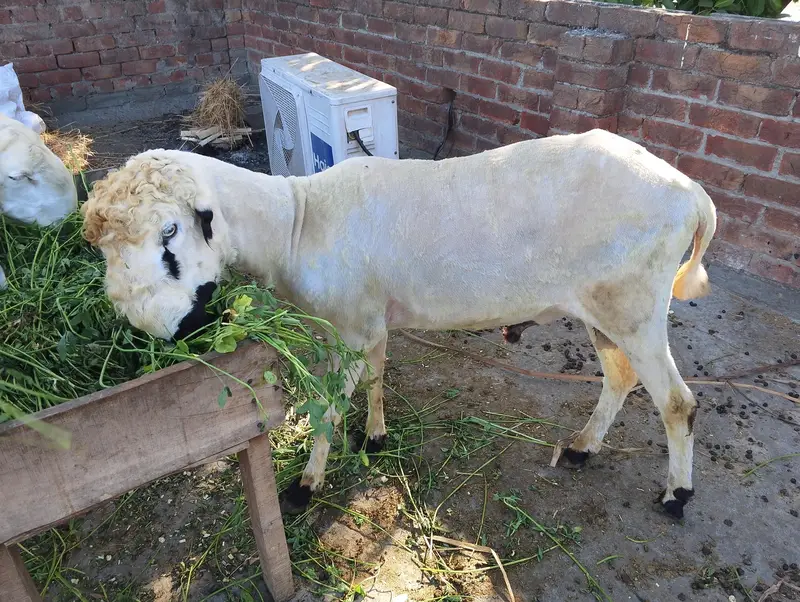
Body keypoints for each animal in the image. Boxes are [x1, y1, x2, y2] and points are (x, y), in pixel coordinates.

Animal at [81, 129, 717, 519]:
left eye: (170, 233)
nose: (164, 332)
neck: (296, 222)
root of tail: (691, 192)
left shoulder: (352, 327)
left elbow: (329, 405)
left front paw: (306, 485)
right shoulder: (361, 322)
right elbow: (377, 376)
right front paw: (376, 435)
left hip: (634, 304)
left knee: (676, 403)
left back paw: (678, 495)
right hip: (606, 309)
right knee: (619, 377)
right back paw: (583, 448)